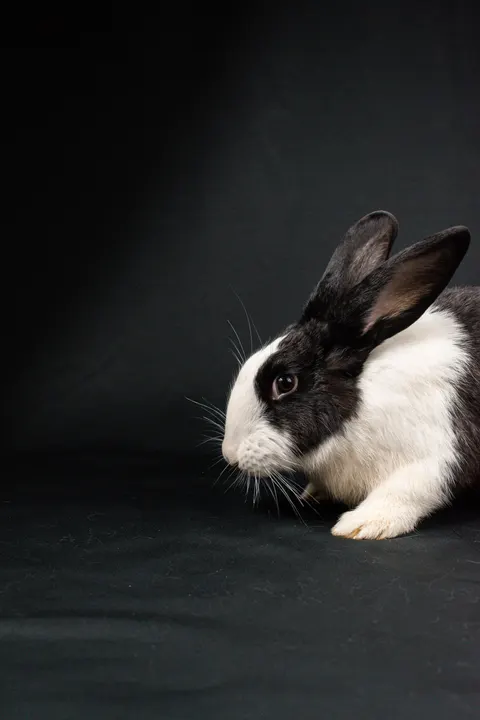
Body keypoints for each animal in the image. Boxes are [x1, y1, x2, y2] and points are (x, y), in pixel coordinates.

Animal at [221, 210, 480, 539]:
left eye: (285, 383)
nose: (229, 454)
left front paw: (362, 525)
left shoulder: (432, 458)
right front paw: (313, 494)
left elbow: (405, 493)